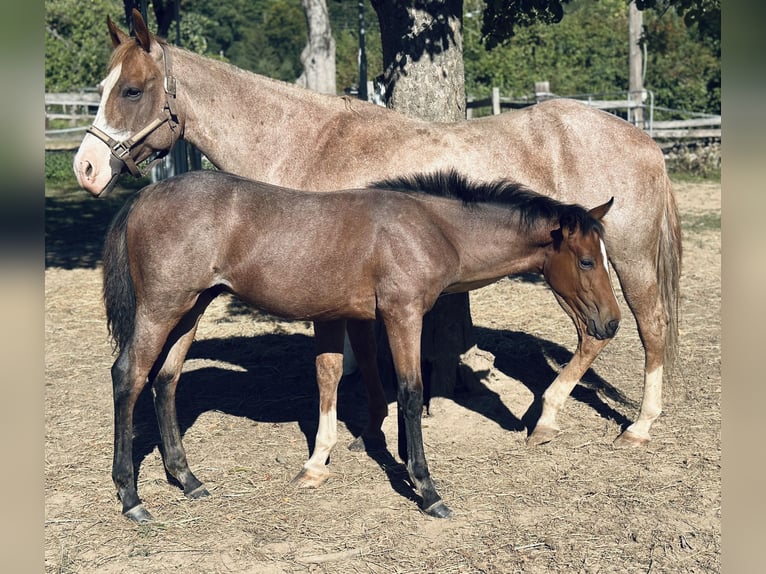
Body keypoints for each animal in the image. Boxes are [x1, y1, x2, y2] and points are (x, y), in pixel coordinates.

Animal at [75, 10, 681, 449]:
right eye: (102, 85)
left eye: (131, 90)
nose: (87, 167)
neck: (309, 141)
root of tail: (645, 140)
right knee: (599, 332)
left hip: (615, 258)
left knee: (639, 326)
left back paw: (627, 424)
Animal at [101, 168, 620, 521]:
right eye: (587, 260)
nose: (611, 323)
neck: (431, 227)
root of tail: (146, 194)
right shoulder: (402, 313)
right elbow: (409, 391)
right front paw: (426, 489)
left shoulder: (350, 317)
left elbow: (352, 380)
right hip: (163, 306)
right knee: (129, 375)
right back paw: (131, 497)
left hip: (192, 308)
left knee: (166, 380)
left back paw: (188, 480)